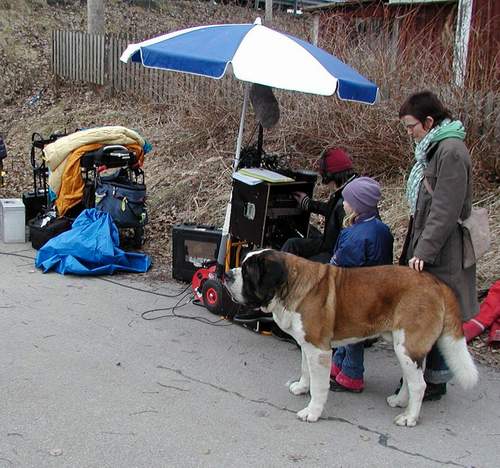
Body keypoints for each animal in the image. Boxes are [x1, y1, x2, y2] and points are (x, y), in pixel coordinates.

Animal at [225, 250, 478, 426]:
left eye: (247, 272)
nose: (227, 274)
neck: (289, 285)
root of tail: (436, 283)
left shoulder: (320, 350)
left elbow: (320, 385)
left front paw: (312, 412)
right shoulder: (307, 344)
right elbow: (306, 369)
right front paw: (301, 387)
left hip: (408, 345)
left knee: (419, 384)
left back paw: (409, 418)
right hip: (404, 347)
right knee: (411, 378)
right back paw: (399, 401)